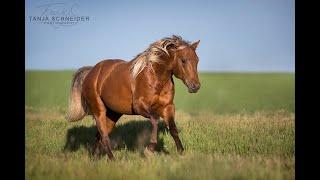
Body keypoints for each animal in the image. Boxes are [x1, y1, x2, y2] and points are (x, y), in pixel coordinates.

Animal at [65, 35, 200, 160]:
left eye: (197, 60)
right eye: (183, 60)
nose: (195, 86)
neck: (155, 77)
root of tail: (91, 72)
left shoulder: (168, 107)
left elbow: (173, 129)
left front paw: (181, 152)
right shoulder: (140, 106)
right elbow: (155, 120)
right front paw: (149, 150)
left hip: (113, 114)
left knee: (99, 136)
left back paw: (96, 158)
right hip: (99, 111)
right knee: (104, 135)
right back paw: (112, 160)